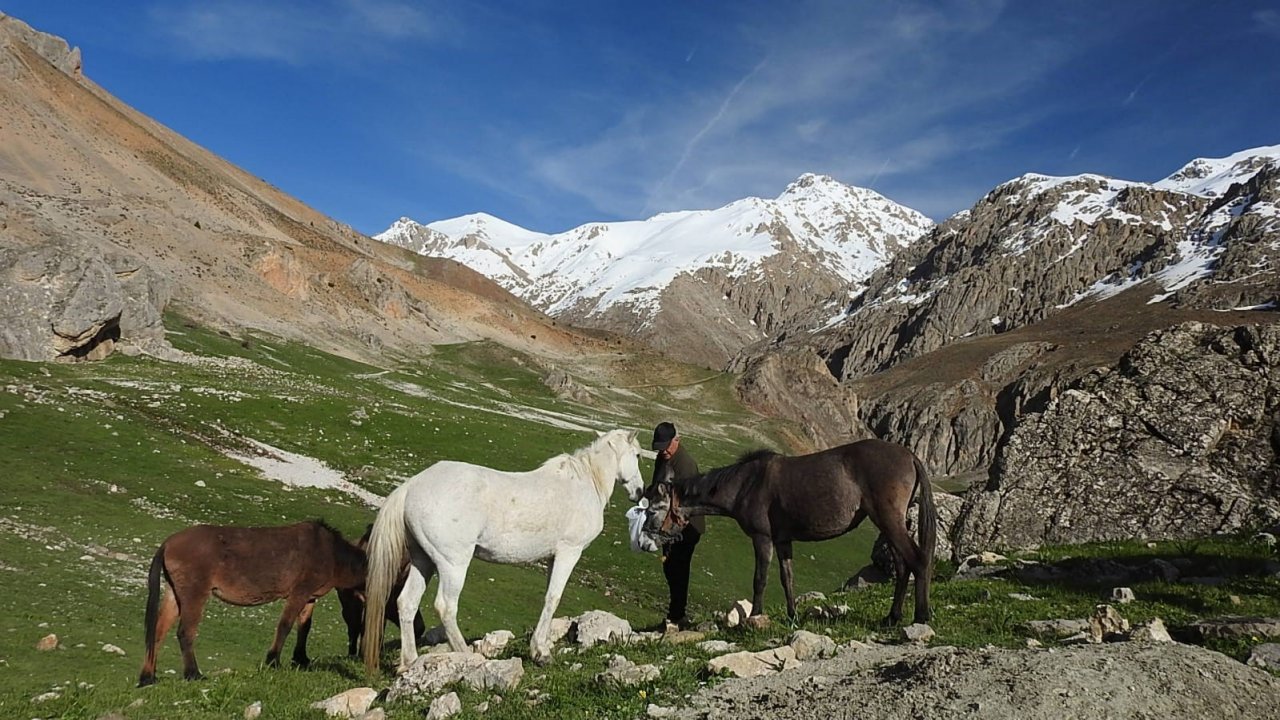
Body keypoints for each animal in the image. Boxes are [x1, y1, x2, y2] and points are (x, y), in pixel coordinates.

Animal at [138, 515, 368, 681]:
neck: (332, 553)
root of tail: (168, 543)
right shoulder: (299, 592)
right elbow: (285, 625)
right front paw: (273, 661)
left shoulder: (310, 597)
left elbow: (304, 627)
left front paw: (301, 660)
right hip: (195, 593)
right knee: (185, 632)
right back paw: (193, 675)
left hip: (174, 593)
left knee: (157, 633)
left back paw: (148, 678)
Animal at [363, 425, 645, 666]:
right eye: (638, 455)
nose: (640, 491)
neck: (585, 483)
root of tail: (411, 486)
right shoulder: (569, 552)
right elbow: (553, 598)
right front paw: (541, 653)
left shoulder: (553, 557)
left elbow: (547, 599)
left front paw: (539, 648)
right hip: (453, 563)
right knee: (446, 607)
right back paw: (467, 656)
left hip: (423, 560)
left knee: (406, 602)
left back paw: (409, 662)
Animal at [645, 438, 936, 622]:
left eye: (654, 508)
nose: (648, 535)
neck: (746, 484)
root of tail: (909, 456)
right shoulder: (783, 541)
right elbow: (788, 579)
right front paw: (792, 616)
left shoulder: (762, 539)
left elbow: (760, 579)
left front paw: (755, 616)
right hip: (887, 525)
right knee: (903, 567)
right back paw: (892, 617)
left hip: (888, 520)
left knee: (918, 561)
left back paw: (921, 616)